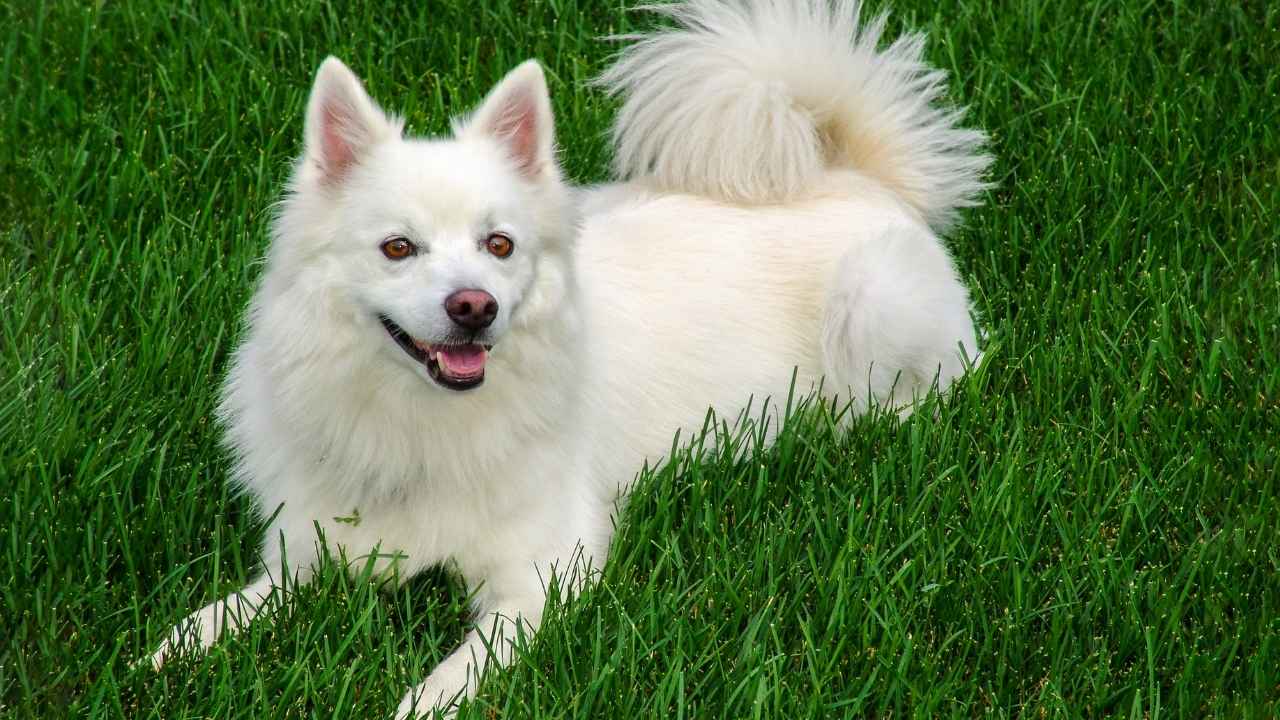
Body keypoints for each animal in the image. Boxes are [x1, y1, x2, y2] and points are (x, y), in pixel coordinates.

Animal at [147, 1, 988, 712]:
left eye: (498, 246)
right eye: (397, 248)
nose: (474, 307)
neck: (421, 421)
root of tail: (859, 177)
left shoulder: (543, 572)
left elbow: (458, 670)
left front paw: (420, 702)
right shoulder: (309, 548)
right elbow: (248, 601)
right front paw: (179, 645)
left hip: (875, 299)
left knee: (939, 385)